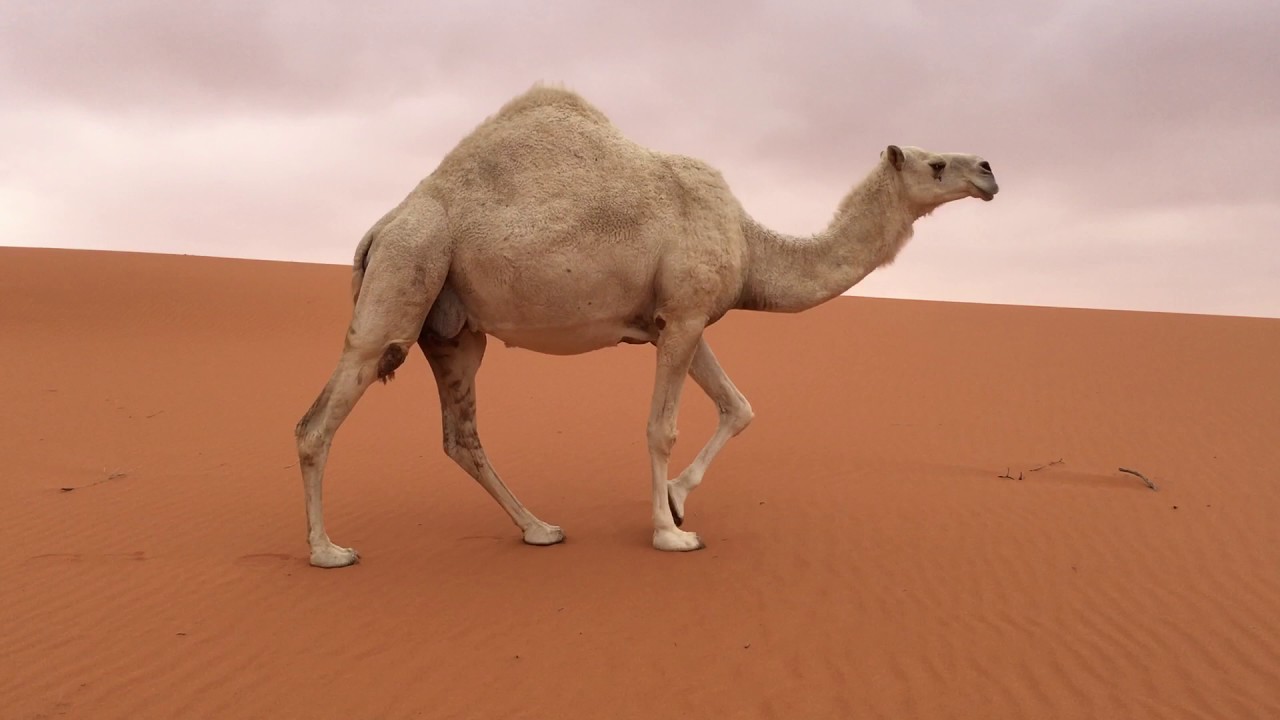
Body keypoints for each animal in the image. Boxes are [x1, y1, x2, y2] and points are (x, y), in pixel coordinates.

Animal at [294, 84, 999, 568]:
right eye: (935, 164)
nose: (989, 170)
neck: (751, 244)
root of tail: (381, 226)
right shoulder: (683, 315)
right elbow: (662, 428)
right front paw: (670, 532)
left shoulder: (680, 321)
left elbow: (740, 407)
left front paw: (680, 500)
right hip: (406, 270)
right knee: (318, 421)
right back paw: (328, 550)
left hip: (454, 328)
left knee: (460, 435)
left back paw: (540, 528)